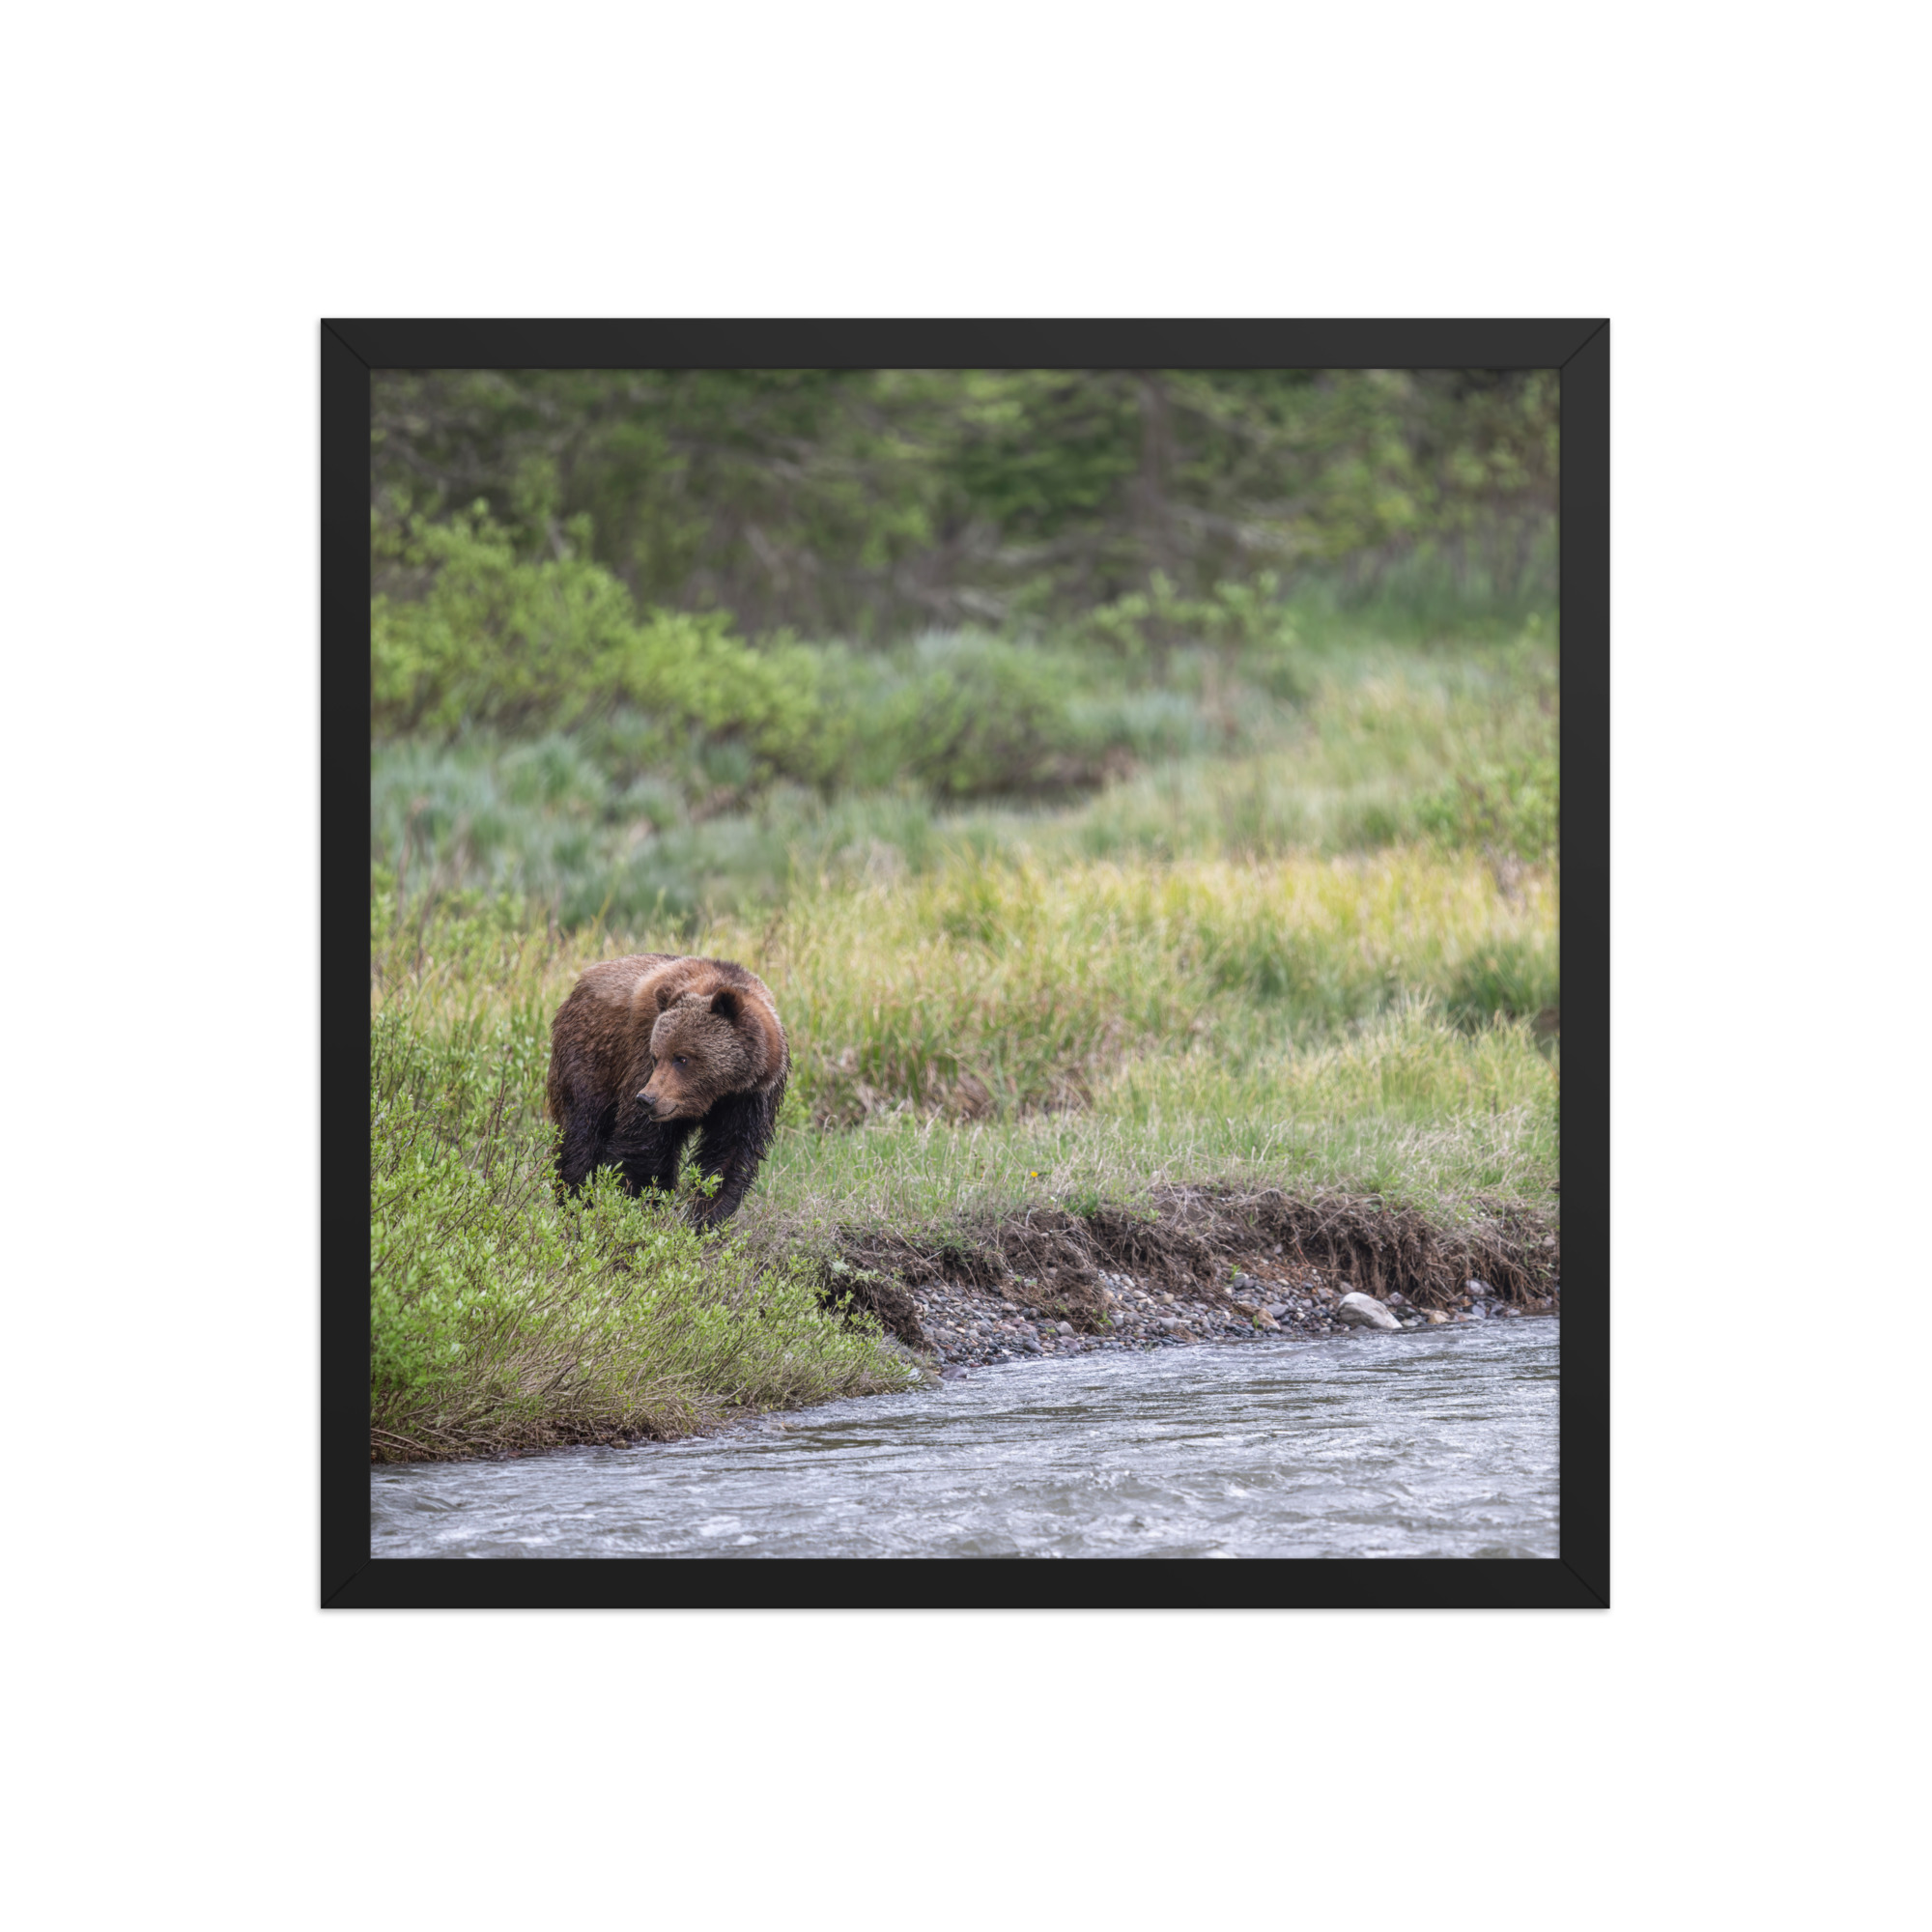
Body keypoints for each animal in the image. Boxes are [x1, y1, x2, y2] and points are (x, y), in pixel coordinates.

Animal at [545, 952, 790, 1229]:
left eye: (682, 1058)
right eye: (656, 1056)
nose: (647, 1099)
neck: (718, 1092)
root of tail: (581, 982)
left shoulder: (750, 1098)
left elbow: (728, 1157)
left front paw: (706, 1219)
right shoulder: (640, 1061)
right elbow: (644, 1147)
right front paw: (640, 1207)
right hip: (591, 1056)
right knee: (582, 1133)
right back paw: (574, 1203)